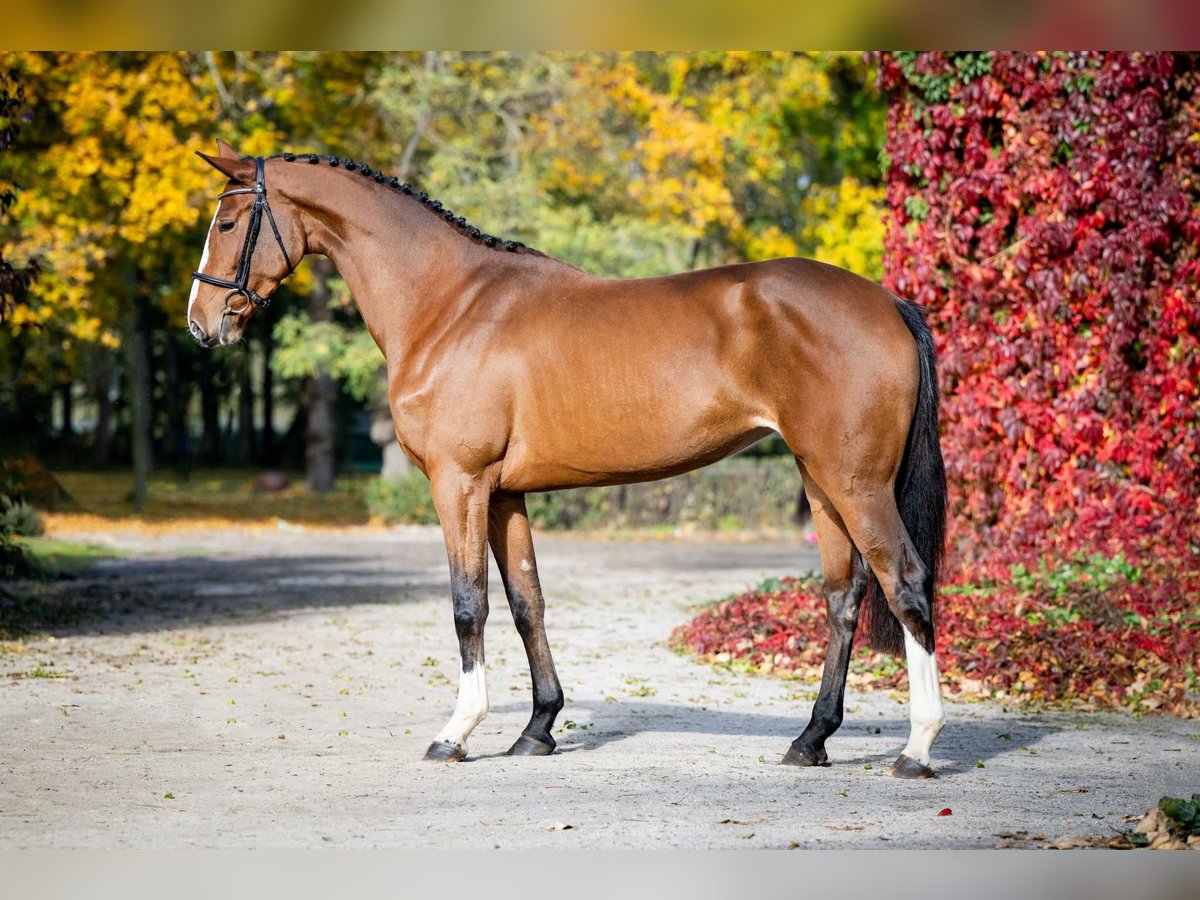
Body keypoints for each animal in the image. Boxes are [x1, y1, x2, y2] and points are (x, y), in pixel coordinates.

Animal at [189, 141, 945, 782]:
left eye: (228, 220)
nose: (203, 324)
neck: (449, 305)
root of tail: (887, 302)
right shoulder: (502, 495)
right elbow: (528, 603)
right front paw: (537, 729)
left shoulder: (458, 483)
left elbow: (468, 603)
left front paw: (456, 732)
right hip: (821, 482)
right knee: (844, 598)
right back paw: (810, 740)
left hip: (856, 484)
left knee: (906, 582)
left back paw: (916, 748)